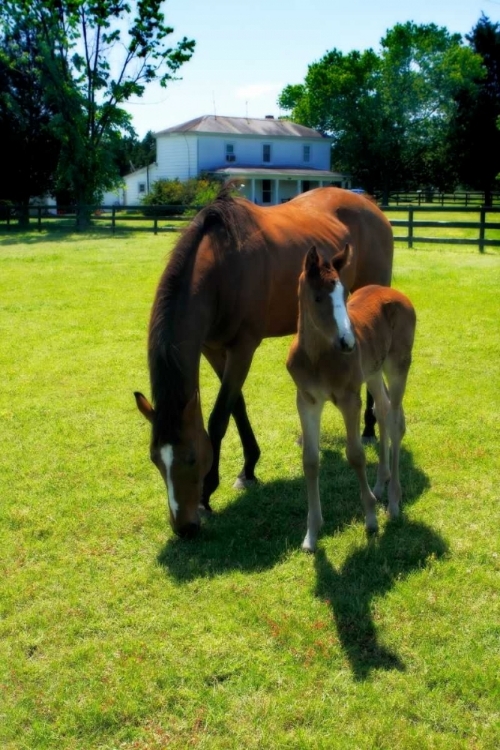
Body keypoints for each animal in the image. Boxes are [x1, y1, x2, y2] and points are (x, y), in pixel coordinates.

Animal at [135, 188, 392, 540]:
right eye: (154, 460)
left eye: (191, 458)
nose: (183, 527)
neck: (222, 268)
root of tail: (370, 205)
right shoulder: (212, 348)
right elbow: (237, 406)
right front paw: (248, 468)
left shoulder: (243, 347)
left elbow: (219, 417)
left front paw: (207, 492)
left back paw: (367, 428)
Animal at [288, 247, 416, 552]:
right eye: (318, 297)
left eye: (345, 294)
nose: (348, 342)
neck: (317, 357)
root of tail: (397, 294)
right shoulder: (307, 401)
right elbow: (310, 460)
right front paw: (312, 533)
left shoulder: (350, 399)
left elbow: (356, 455)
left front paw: (370, 518)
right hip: (373, 372)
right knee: (383, 410)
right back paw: (381, 484)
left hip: (398, 367)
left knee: (395, 421)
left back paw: (393, 501)